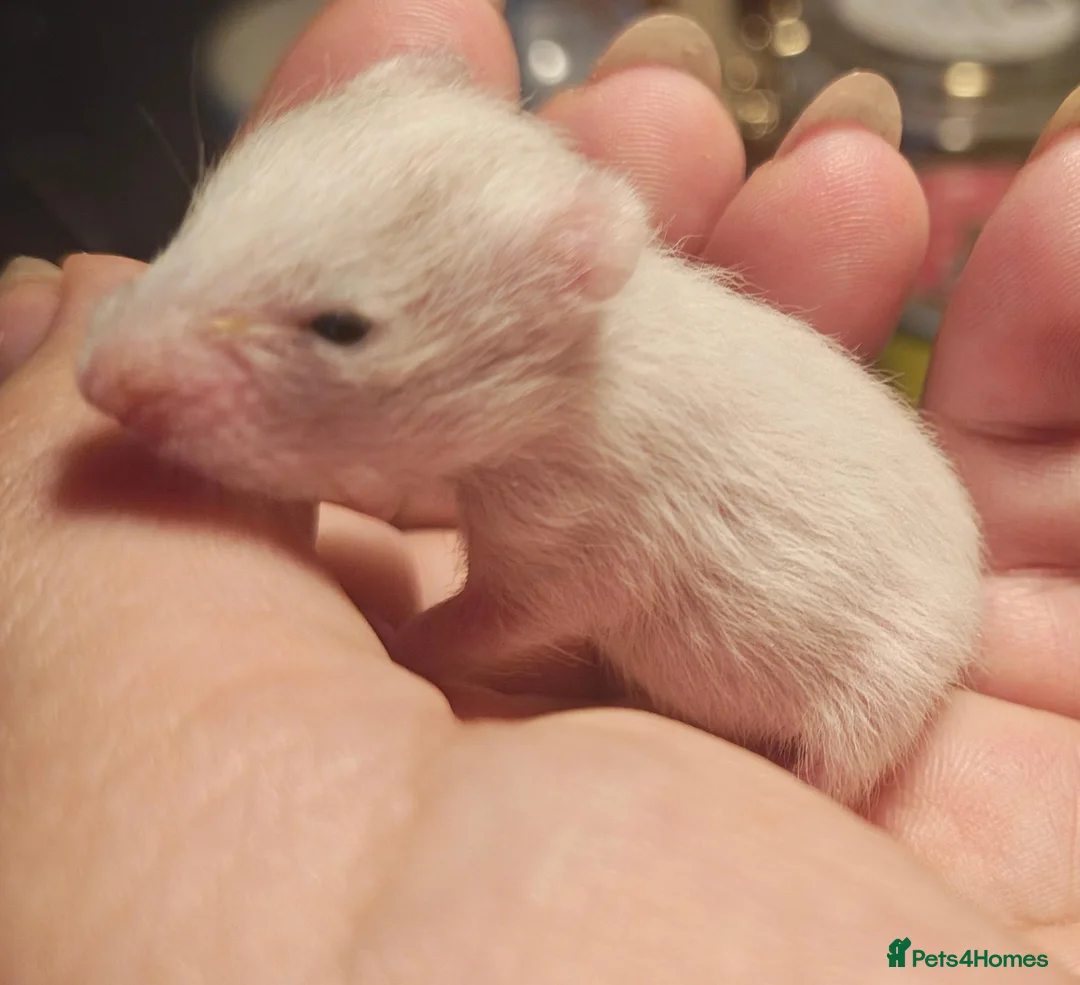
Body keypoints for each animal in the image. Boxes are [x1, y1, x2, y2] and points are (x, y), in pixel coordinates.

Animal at [76, 53, 983, 808]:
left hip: (885, 689)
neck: (591, 348)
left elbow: (506, 616)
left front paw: (401, 638)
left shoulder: (577, 537)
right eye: (200, 216)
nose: (95, 376)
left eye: (342, 327)